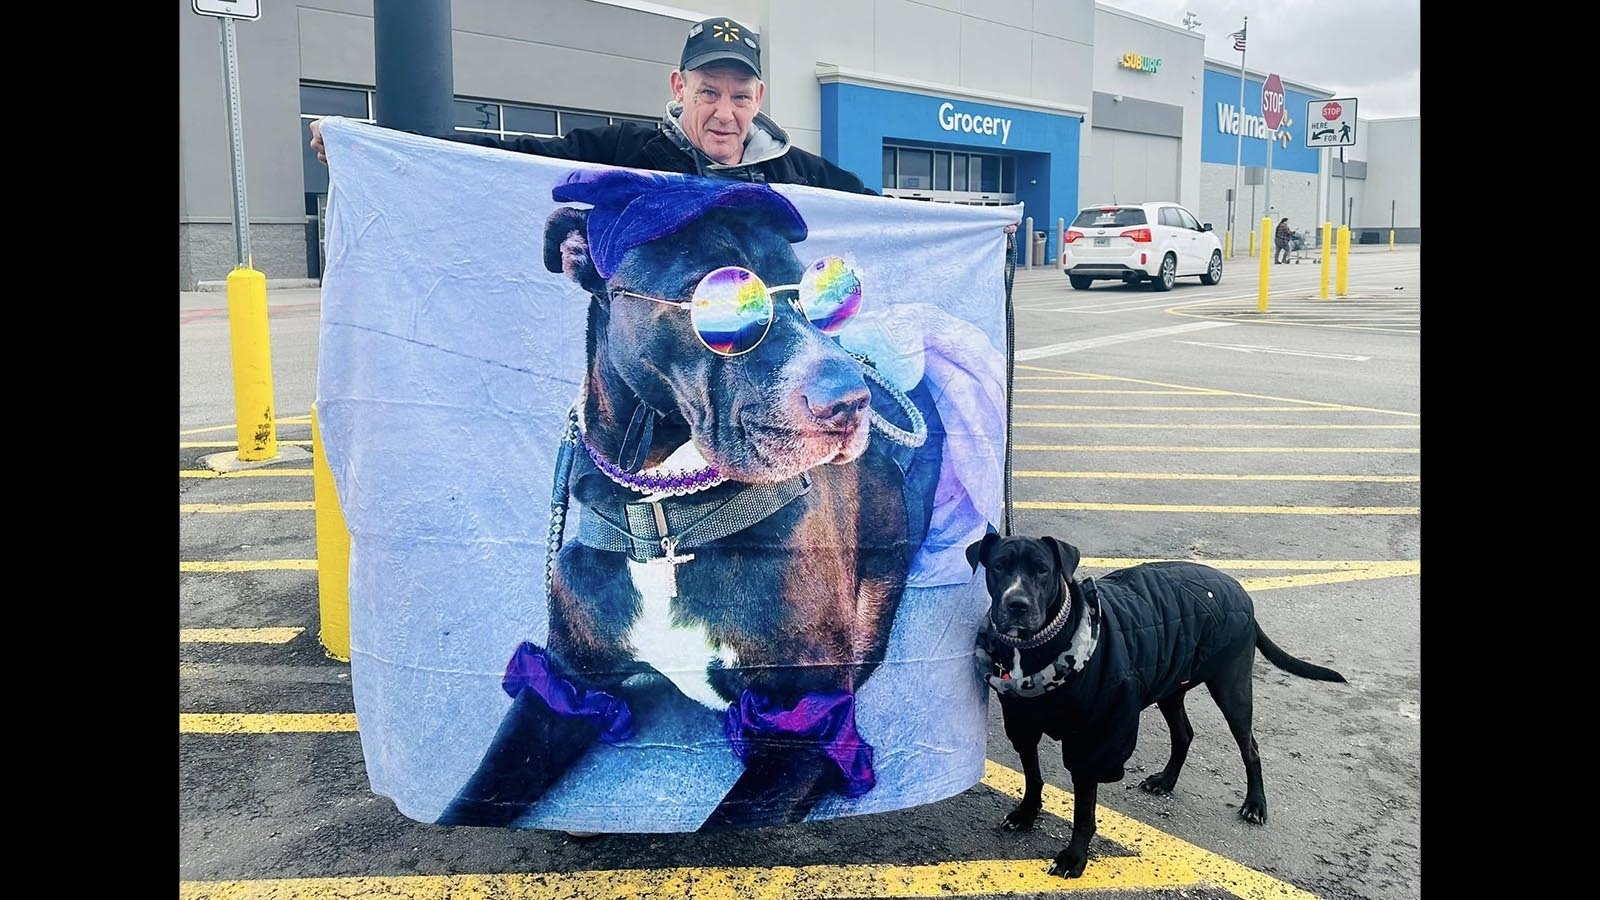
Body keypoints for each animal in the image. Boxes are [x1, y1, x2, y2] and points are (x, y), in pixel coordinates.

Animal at [966, 531, 1344, 877]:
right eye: (999, 567)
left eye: (1043, 570)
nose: (1017, 604)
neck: (1040, 646)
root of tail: (1237, 588)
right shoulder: (1023, 724)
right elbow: (1033, 776)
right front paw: (1026, 814)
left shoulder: (1095, 740)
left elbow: (1083, 810)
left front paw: (1074, 857)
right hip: (1172, 687)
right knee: (1184, 734)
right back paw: (1166, 781)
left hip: (1232, 687)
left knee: (1249, 747)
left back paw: (1255, 805)